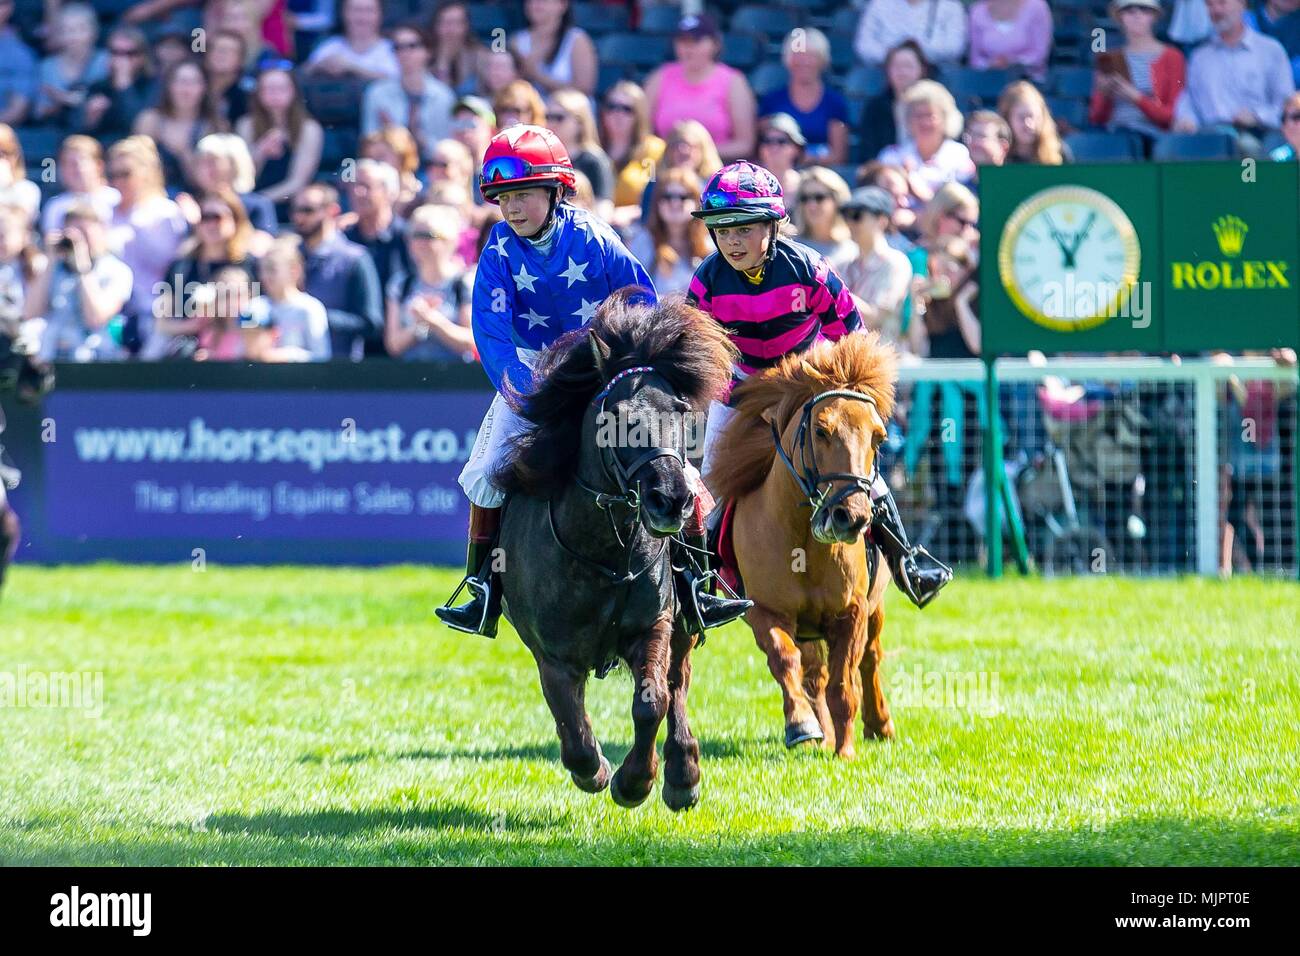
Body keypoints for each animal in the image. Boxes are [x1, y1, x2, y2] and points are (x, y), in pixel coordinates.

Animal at [707, 332, 899, 759]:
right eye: (821, 431)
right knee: (813, 670)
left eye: (878, 437)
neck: (803, 542)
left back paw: (880, 725)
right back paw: (821, 731)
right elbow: (786, 661)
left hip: (876, 605)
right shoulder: (765, 609)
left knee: (871, 658)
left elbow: (844, 684)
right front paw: (803, 727)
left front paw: (845, 752)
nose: (852, 516)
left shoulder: (852, 611)